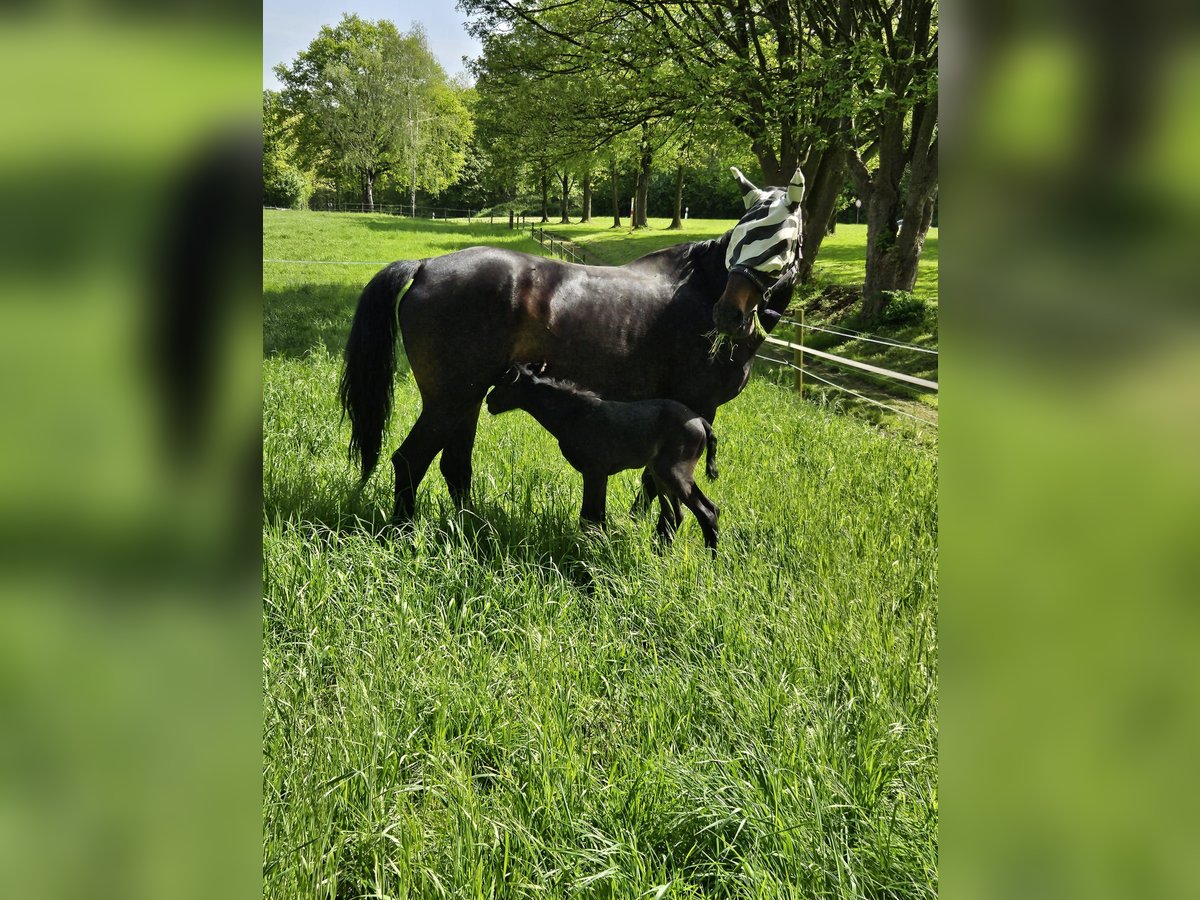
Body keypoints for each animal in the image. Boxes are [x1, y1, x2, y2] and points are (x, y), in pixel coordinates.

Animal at [340, 165, 806, 525]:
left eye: (780, 238)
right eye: (742, 233)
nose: (727, 313)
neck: (698, 289)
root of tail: (425, 266)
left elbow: (654, 481)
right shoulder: (696, 406)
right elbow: (656, 482)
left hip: (466, 400)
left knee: (454, 466)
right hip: (449, 400)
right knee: (410, 461)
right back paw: (405, 533)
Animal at [484, 362, 720, 554]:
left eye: (503, 382)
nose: (488, 400)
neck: (573, 414)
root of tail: (701, 422)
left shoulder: (594, 472)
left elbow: (590, 516)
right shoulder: (599, 475)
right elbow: (596, 516)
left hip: (672, 473)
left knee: (705, 512)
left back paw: (709, 559)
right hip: (663, 476)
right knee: (680, 514)